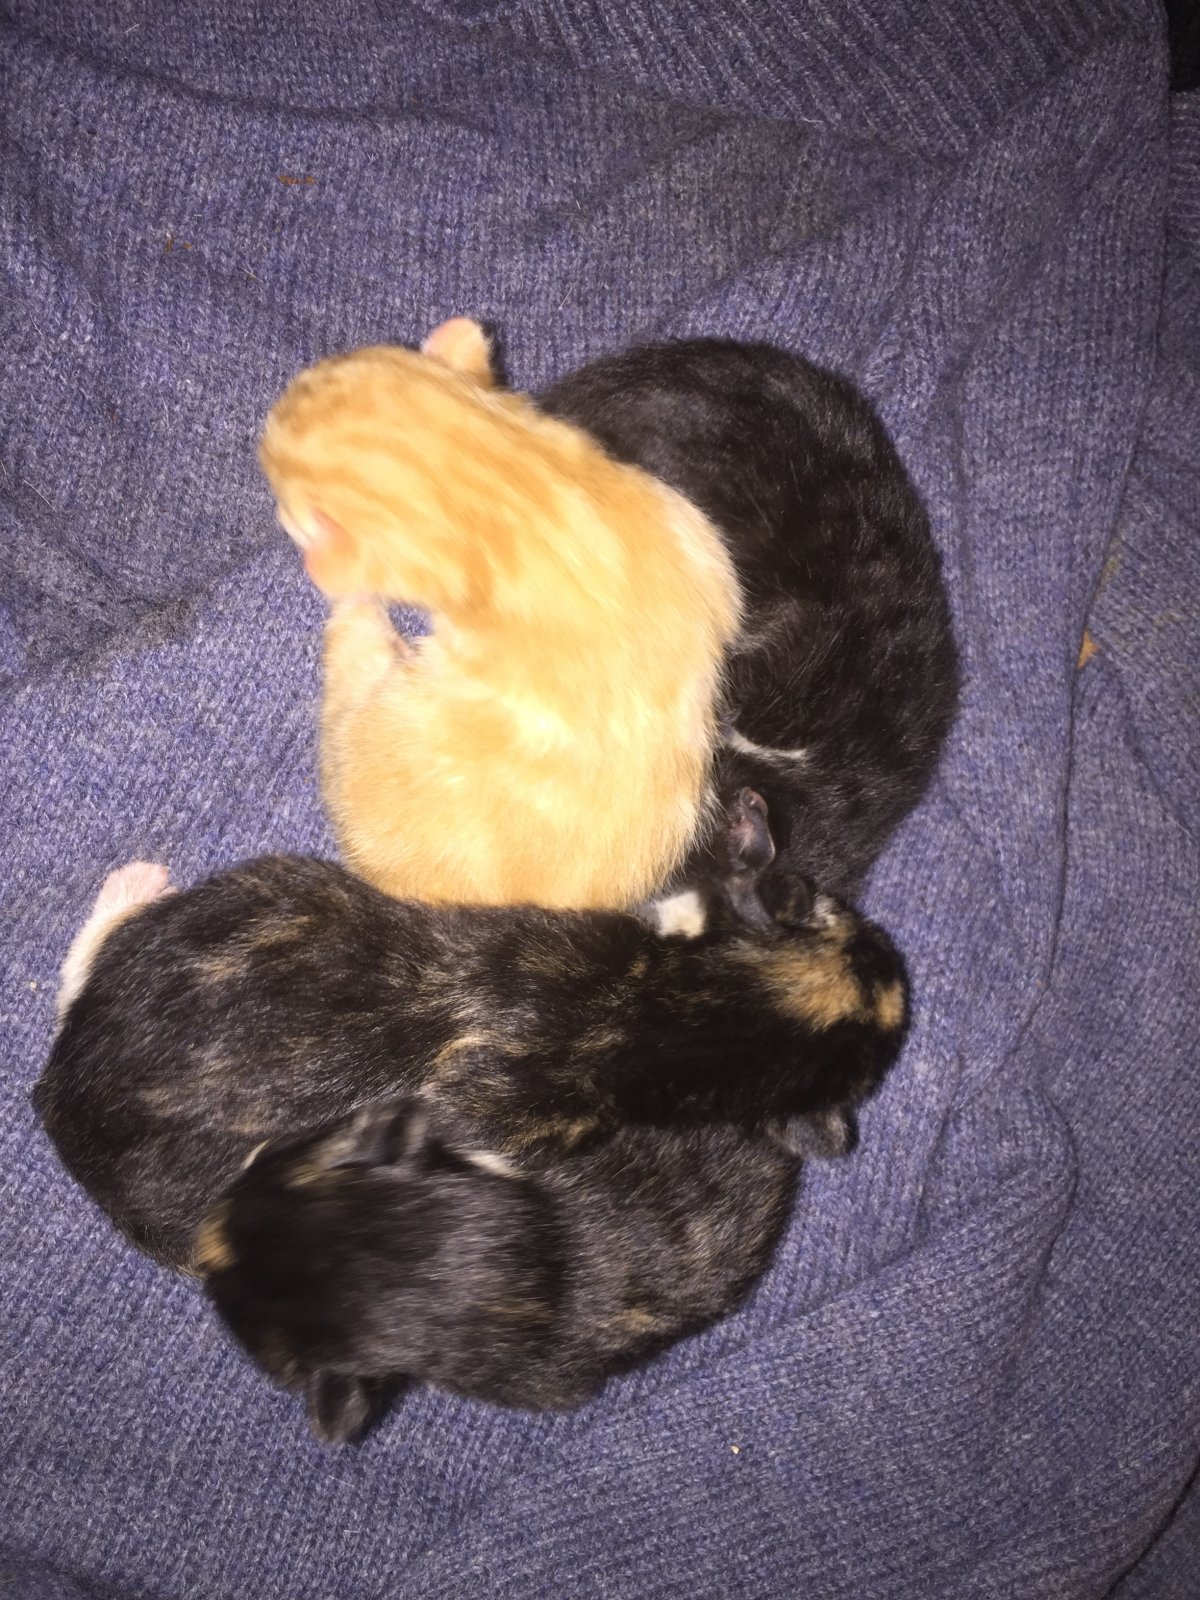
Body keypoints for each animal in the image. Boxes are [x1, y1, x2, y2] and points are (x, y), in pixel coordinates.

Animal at [34, 790, 907, 1272]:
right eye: (841, 915)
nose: (899, 977)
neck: (667, 1015)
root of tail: (64, 1102)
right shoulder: (505, 1123)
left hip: (253, 899)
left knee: (84, 969)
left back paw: (130, 888)